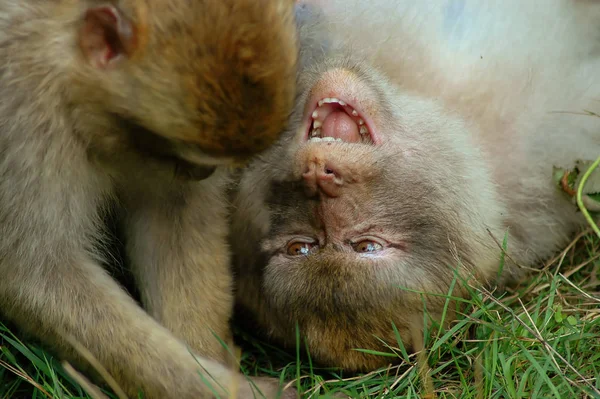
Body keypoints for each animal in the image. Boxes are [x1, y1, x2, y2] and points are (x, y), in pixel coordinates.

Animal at [0, 0, 298, 399]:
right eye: (186, 152)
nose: (201, 174)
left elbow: (175, 213)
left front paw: (207, 356)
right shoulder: (24, 124)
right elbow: (42, 275)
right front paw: (222, 389)